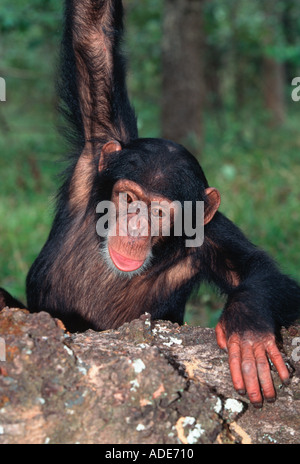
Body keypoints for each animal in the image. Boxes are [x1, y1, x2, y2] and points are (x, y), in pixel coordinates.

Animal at [0, 0, 300, 406]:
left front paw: (248, 327)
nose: (135, 225)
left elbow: (259, 270)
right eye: (129, 197)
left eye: (157, 211)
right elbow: (92, 35)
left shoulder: (208, 234)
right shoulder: (102, 145)